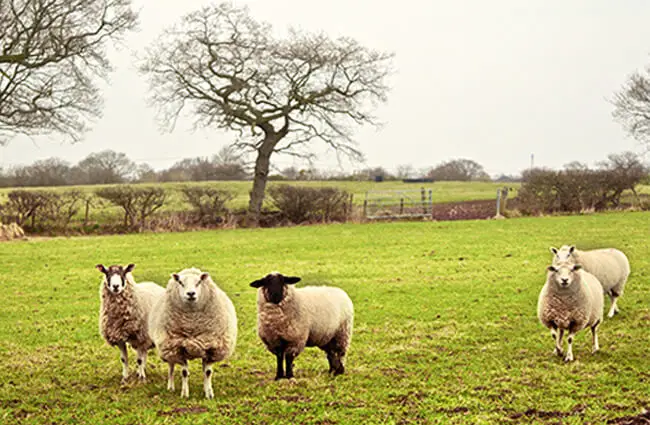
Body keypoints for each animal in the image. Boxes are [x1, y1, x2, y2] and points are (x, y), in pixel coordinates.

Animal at [148, 267, 237, 399]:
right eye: (180, 282)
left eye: (199, 282)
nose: (191, 294)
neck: (191, 323)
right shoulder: (179, 347)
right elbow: (184, 372)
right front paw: (185, 393)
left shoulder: (210, 347)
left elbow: (208, 372)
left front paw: (209, 393)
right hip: (168, 348)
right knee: (171, 367)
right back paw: (170, 386)